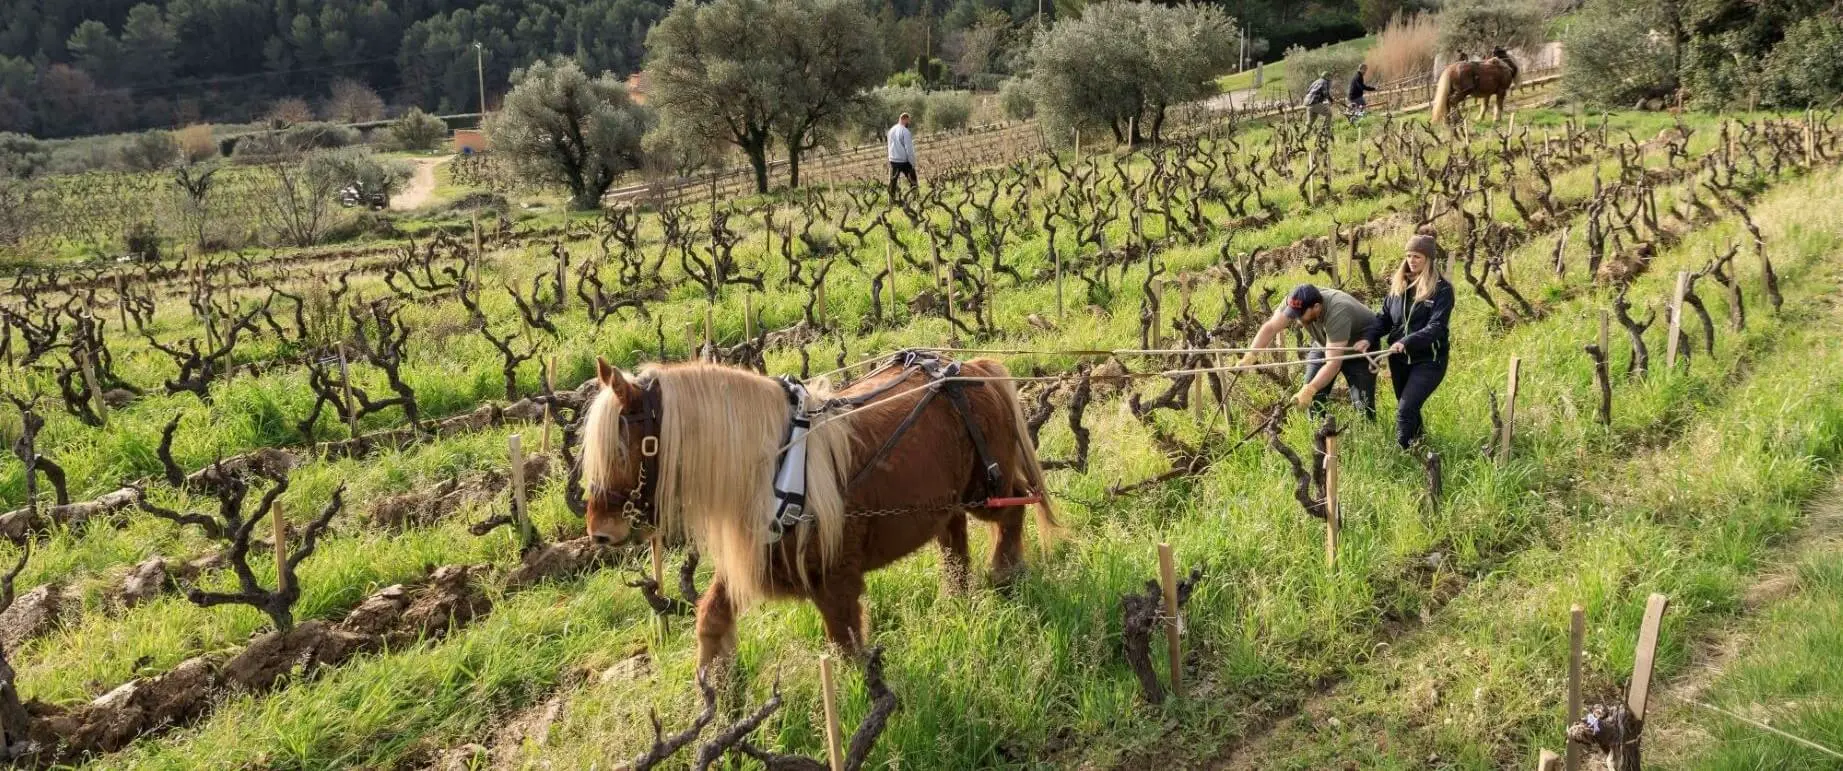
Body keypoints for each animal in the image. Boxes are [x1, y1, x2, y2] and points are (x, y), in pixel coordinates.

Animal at [582, 352, 1061, 664]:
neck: (777, 467)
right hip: (948, 499)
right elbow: (712, 619)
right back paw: (956, 599)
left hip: (985, 488)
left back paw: (1005, 572)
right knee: (953, 539)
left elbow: (846, 650)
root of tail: (976, 369)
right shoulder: (755, 559)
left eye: (623, 449)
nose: (599, 531)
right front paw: (720, 698)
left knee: (1014, 508)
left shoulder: (835, 580)